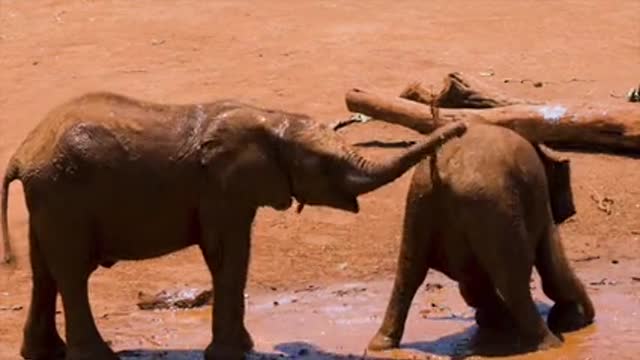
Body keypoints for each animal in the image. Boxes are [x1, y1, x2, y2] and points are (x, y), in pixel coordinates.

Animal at [368, 124, 596, 354]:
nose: (572, 210)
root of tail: (444, 167)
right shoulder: (539, 200)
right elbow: (553, 265)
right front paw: (576, 319)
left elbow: (471, 282)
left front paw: (495, 321)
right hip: (491, 203)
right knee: (514, 277)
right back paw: (550, 344)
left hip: (422, 200)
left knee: (409, 273)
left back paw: (380, 345)